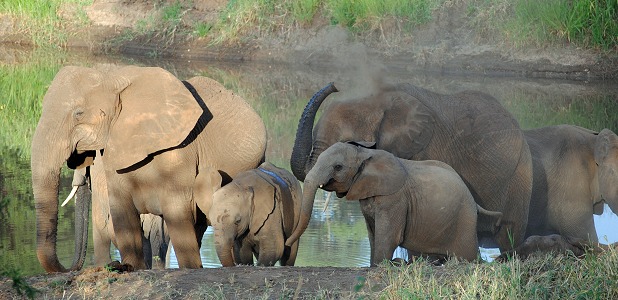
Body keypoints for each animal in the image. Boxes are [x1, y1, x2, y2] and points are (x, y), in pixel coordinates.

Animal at [31, 65, 264, 272]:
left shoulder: (180, 149)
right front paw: (132, 267)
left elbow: (177, 210)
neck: (113, 77)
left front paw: (188, 269)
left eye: (78, 113)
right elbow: (121, 211)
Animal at [284, 141, 500, 264]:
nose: (286, 243)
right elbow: (373, 234)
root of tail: (472, 197)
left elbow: (388, 236)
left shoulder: (395, 199)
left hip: (465, 218)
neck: (363, 153)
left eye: (338, 167)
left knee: (468, 254)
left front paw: (382, 265)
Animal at [286, 81, 532, 251]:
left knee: (509, 234)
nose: (335, 85)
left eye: (347, 142)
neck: (379, 100)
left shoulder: (422, 149)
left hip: (520, 175)